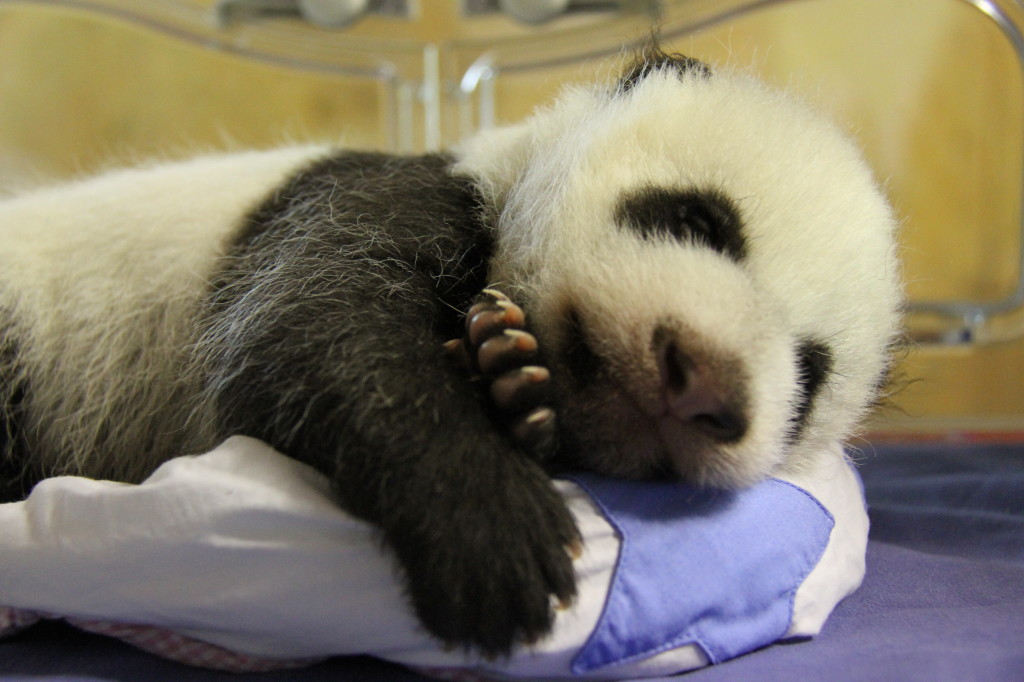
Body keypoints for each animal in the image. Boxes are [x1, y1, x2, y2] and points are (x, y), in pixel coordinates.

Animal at [0, 47, 897, 655]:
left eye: (810, 372)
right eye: (696, 221)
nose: (702, 381)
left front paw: (507, 379)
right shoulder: (381, 198)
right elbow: (308, 326)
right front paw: (496, 535)